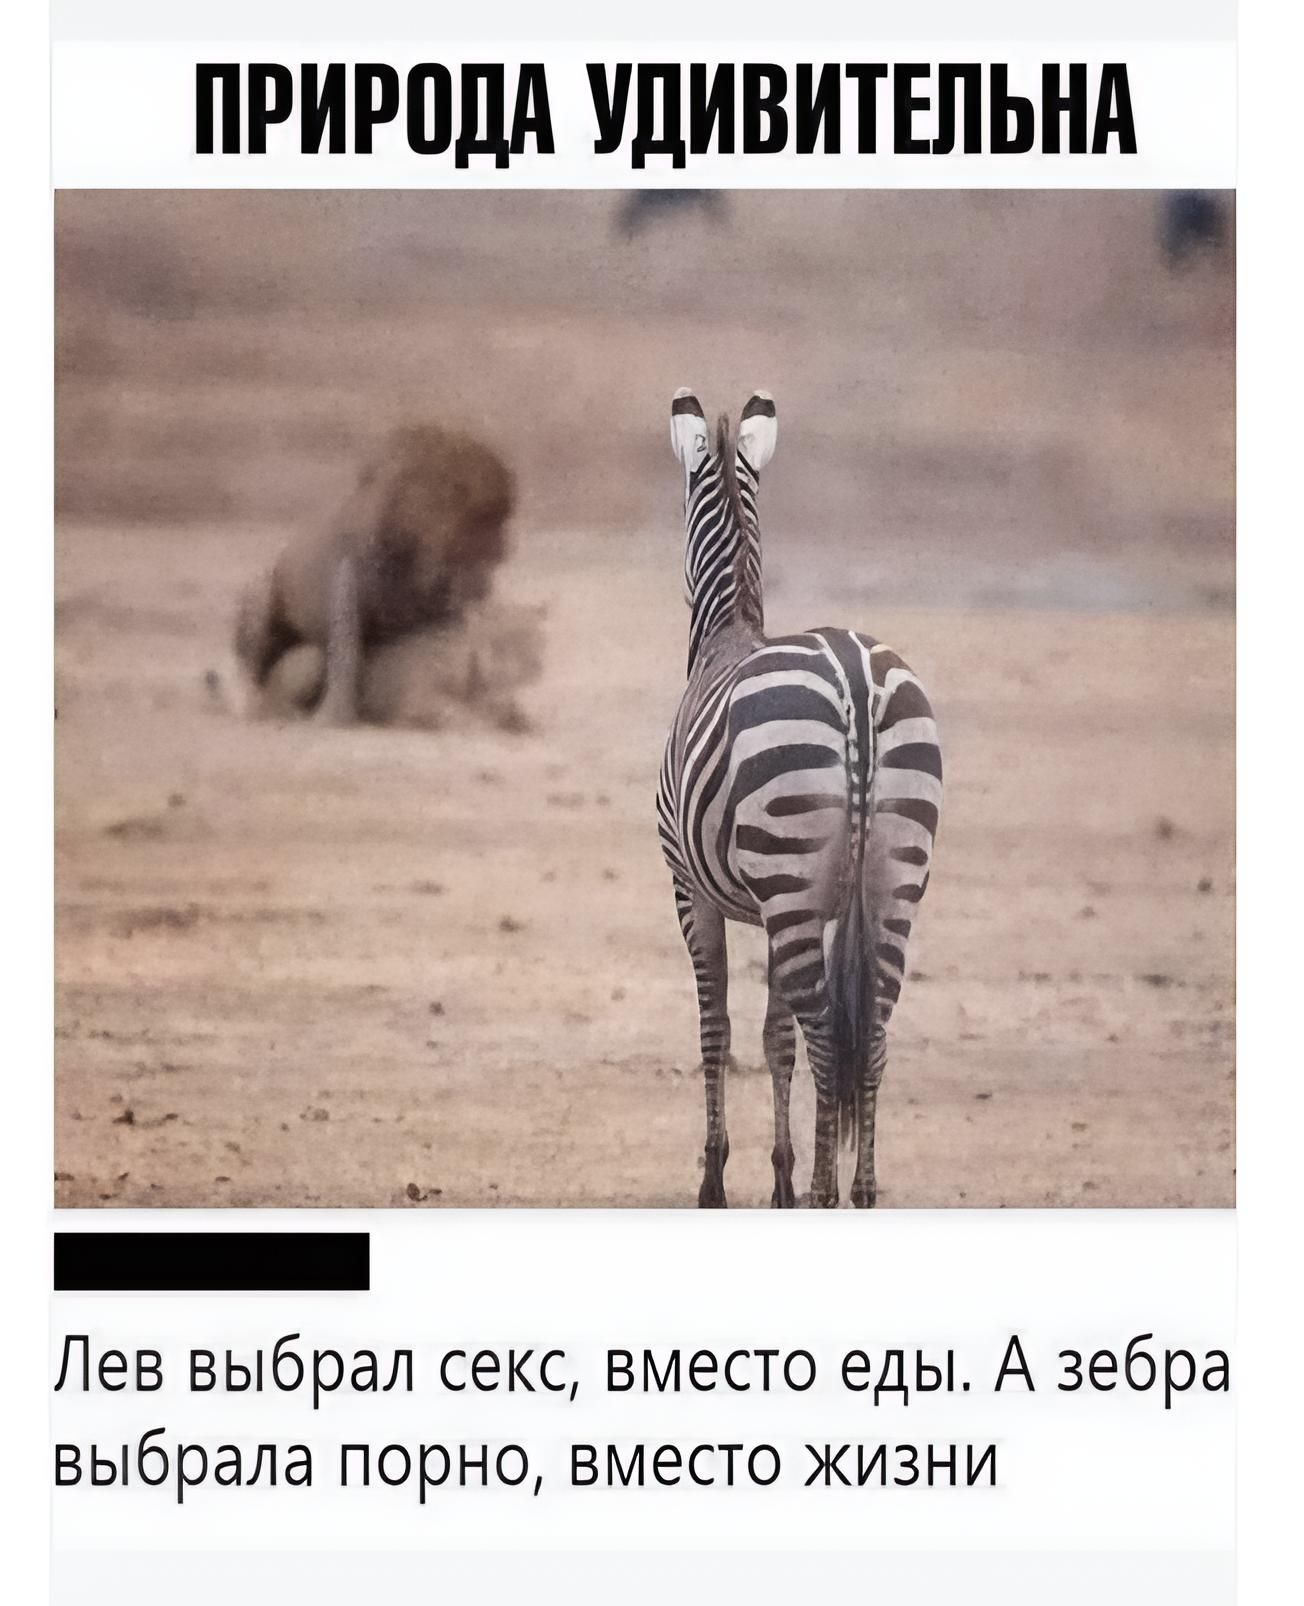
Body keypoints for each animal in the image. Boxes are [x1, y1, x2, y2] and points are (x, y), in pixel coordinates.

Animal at [234, 423, 516, 725]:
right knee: (255, 668)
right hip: (260, 599)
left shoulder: (441, 612)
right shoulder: (347, 578)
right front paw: (334, 717)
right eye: (485, 521)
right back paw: (259, 706)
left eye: (499, 519)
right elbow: (346, 653)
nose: (503, 547)